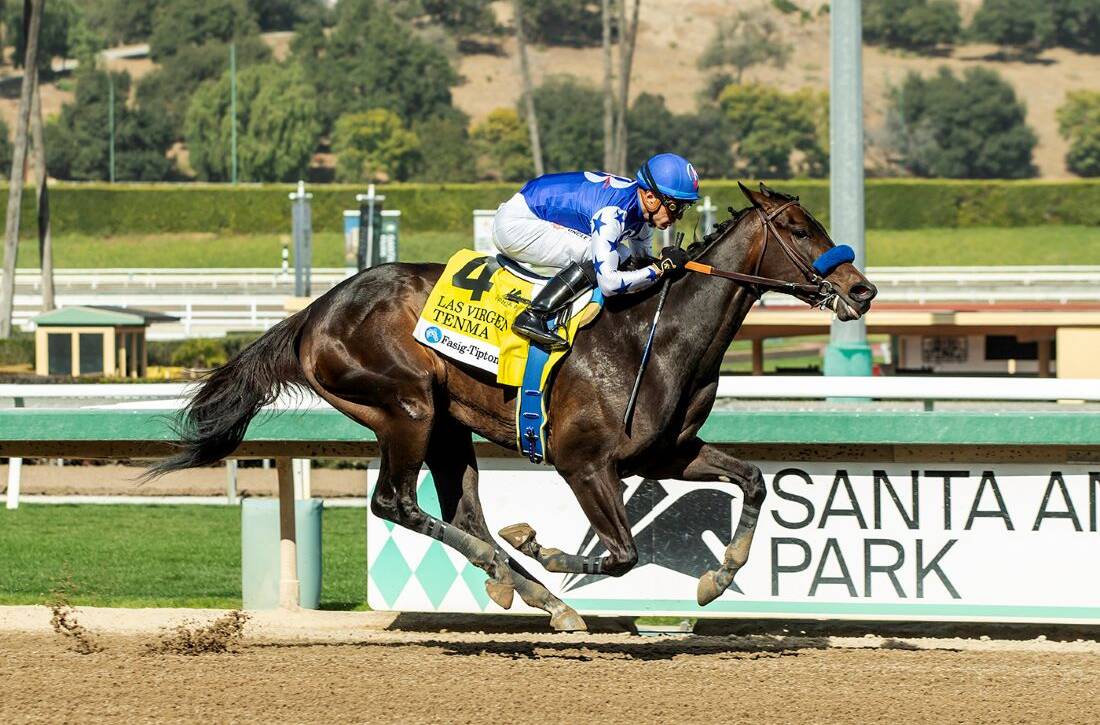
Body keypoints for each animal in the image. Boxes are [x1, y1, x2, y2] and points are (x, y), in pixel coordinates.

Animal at [152, 184, 875, 633]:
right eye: (798, 227)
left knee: (459, 510)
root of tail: (313, 312)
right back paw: (524, 575)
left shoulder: (667, 452)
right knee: (395, 502)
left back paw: (523, 588)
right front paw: (547, 550)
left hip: (446, 425)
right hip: (406, 405)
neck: (655, 334)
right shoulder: (583, 461)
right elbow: (624, 553)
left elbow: (752, 480)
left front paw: (716, 579)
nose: (862, 289)